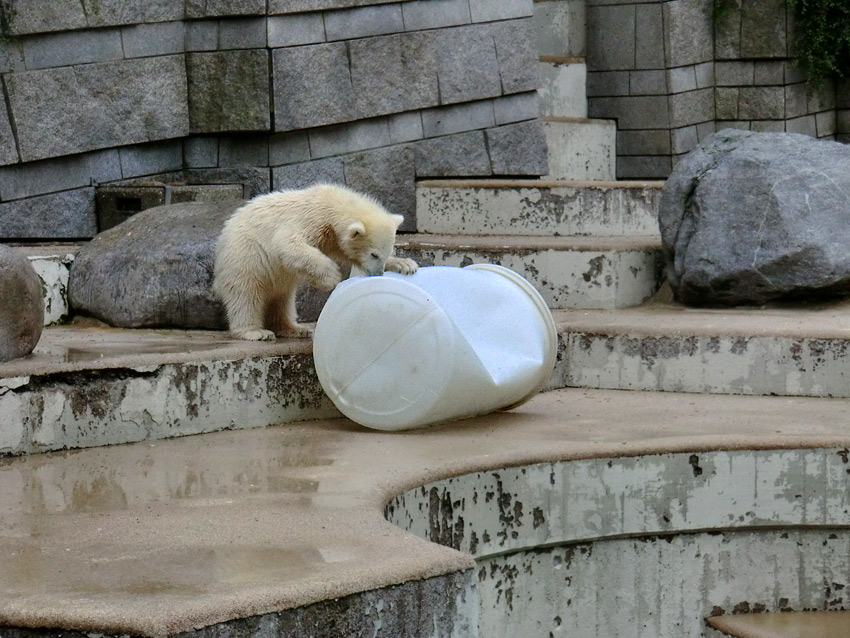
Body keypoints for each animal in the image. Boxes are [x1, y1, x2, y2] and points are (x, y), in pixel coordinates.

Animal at [212, 185, 418, 342]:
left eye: (385, 253)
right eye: (374, 254)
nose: (378, 274)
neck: (329, 203)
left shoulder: (333, 238)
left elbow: (347, 253)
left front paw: (405, 265)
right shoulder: (308, 219)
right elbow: (288, 244)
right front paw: (332, 276)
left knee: (283, 299)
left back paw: (295, 329)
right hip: (245, 257)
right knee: (245, 294)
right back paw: (256, 332)